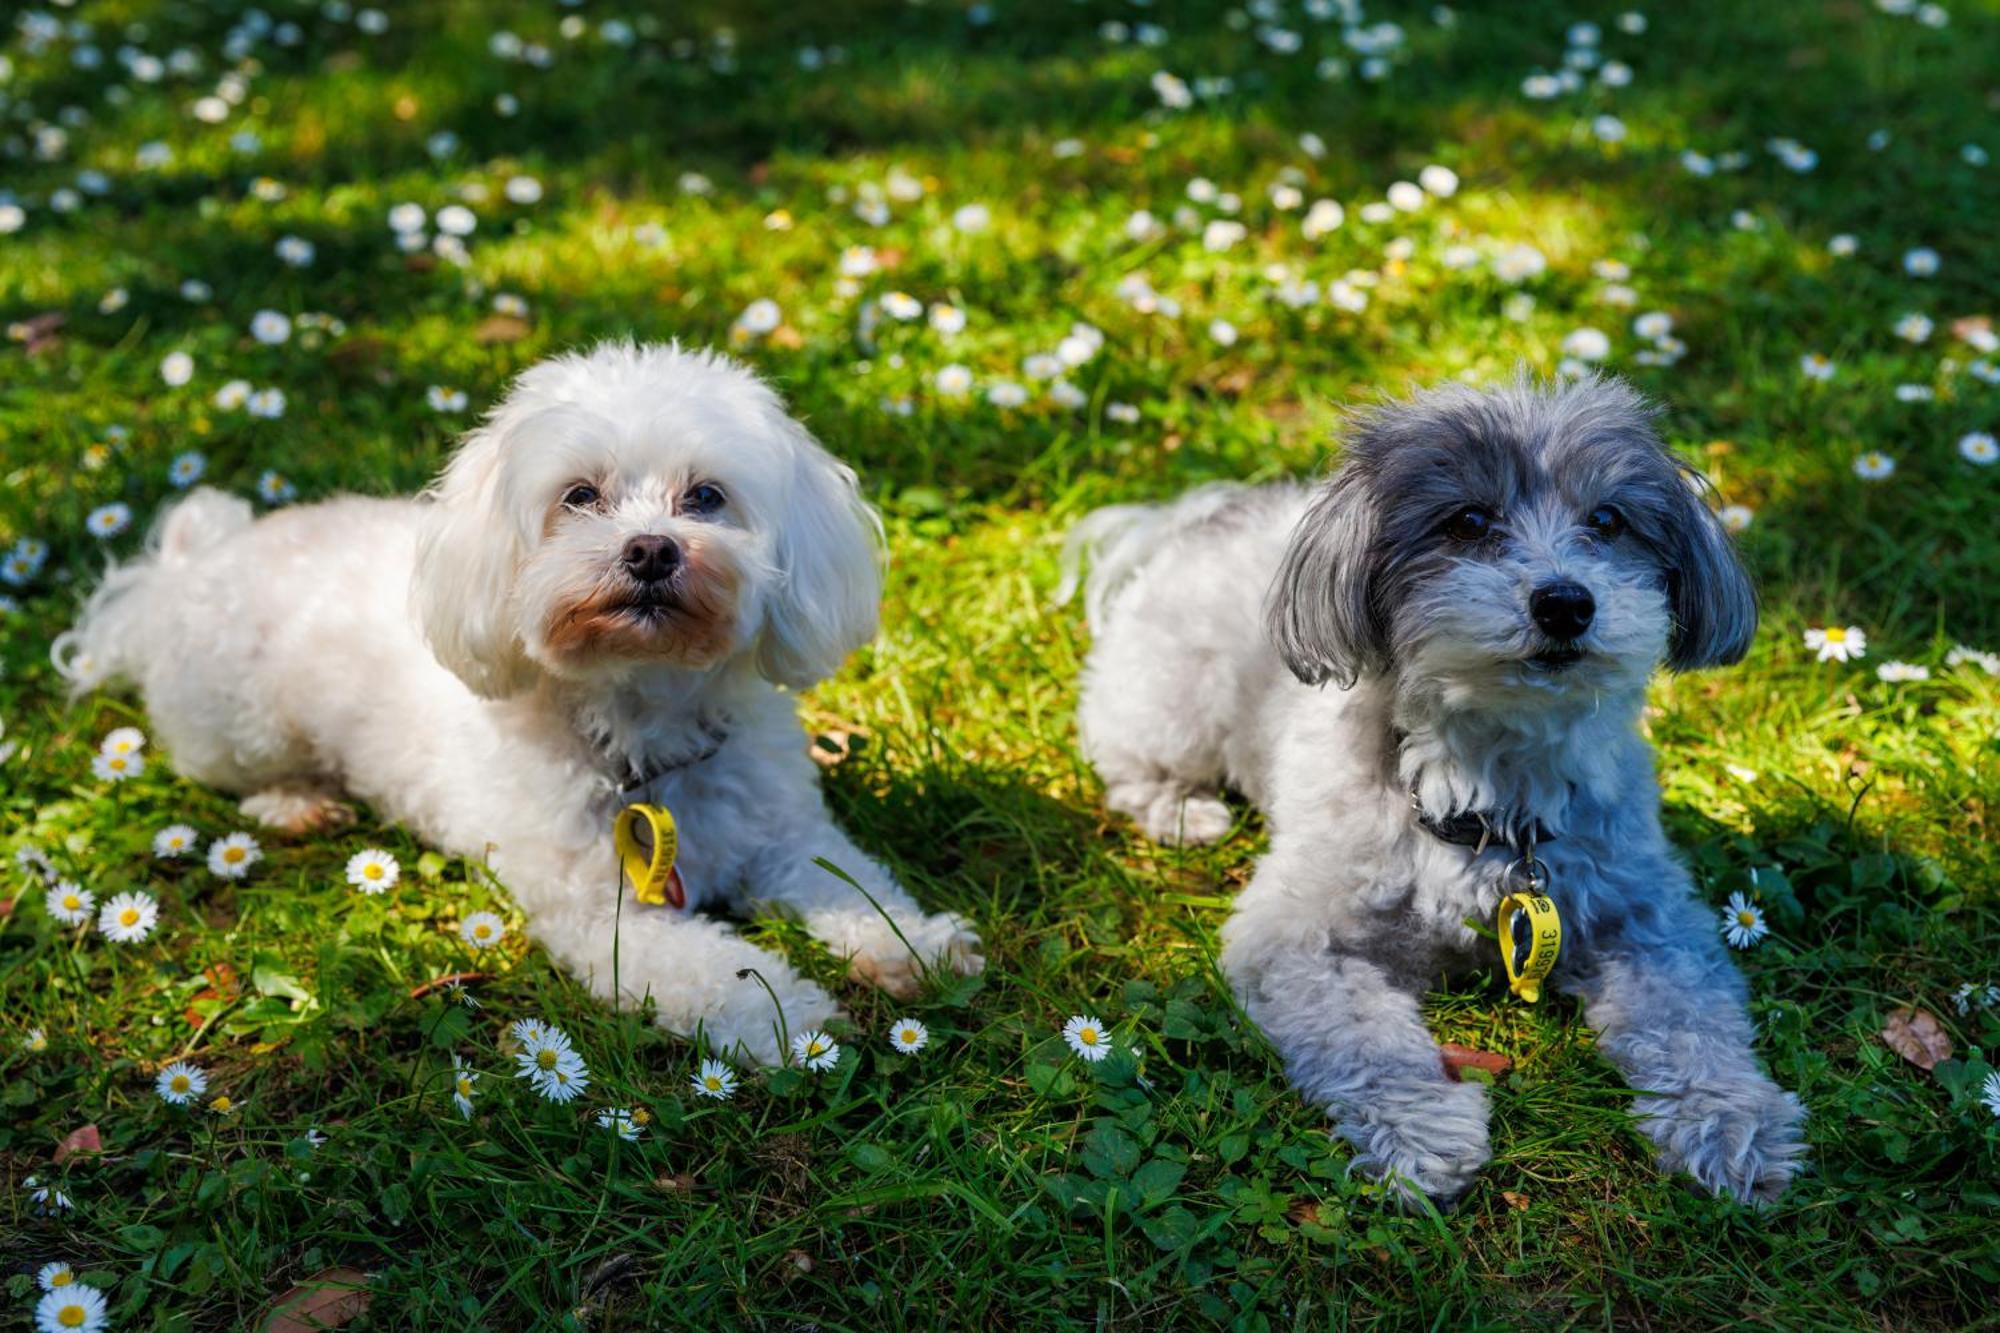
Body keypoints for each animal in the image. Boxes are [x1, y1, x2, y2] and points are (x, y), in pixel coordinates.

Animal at [54, 340, 976, 1056]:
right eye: (580, 496)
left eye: (706, 496)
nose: (651, 550)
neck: (645, 724)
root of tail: (184, 571)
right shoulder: (605, 913)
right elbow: (715, 968)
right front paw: (785, 1014)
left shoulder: (788, 834)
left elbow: (857, 885)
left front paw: (917, 944)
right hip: (243, 723)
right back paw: (295, 801)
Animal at [1072, 374, 1808, 1200]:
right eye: (1468, 520)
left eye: (1608, 519)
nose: (1565, 601)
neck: (1495, 803)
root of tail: (1196, 519)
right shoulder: (1295, 939)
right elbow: (1365, 1038)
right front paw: (1421, 1126)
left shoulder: (1651, 917)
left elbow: (1694, 1019)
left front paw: (1729, 1118)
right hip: (1172, 705)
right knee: (1126, 759)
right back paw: (1181, 811)